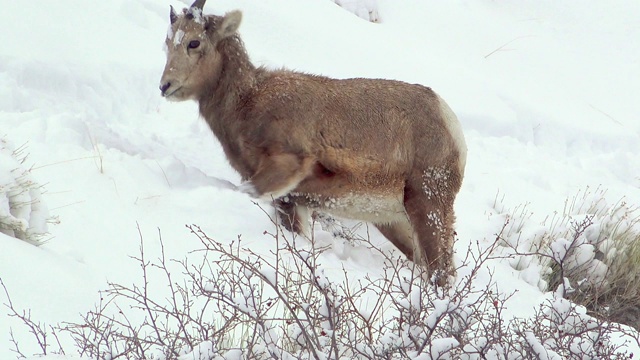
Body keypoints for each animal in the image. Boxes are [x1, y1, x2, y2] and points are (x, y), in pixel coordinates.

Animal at [159, 0, 470, 284]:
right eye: (168, 42)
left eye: (194, 42)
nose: (165, 86)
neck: (248, 101)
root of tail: (449, 121)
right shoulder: (290, 201)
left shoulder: (287, 167)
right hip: (394, 220)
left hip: (428, 204)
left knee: (442, 272)